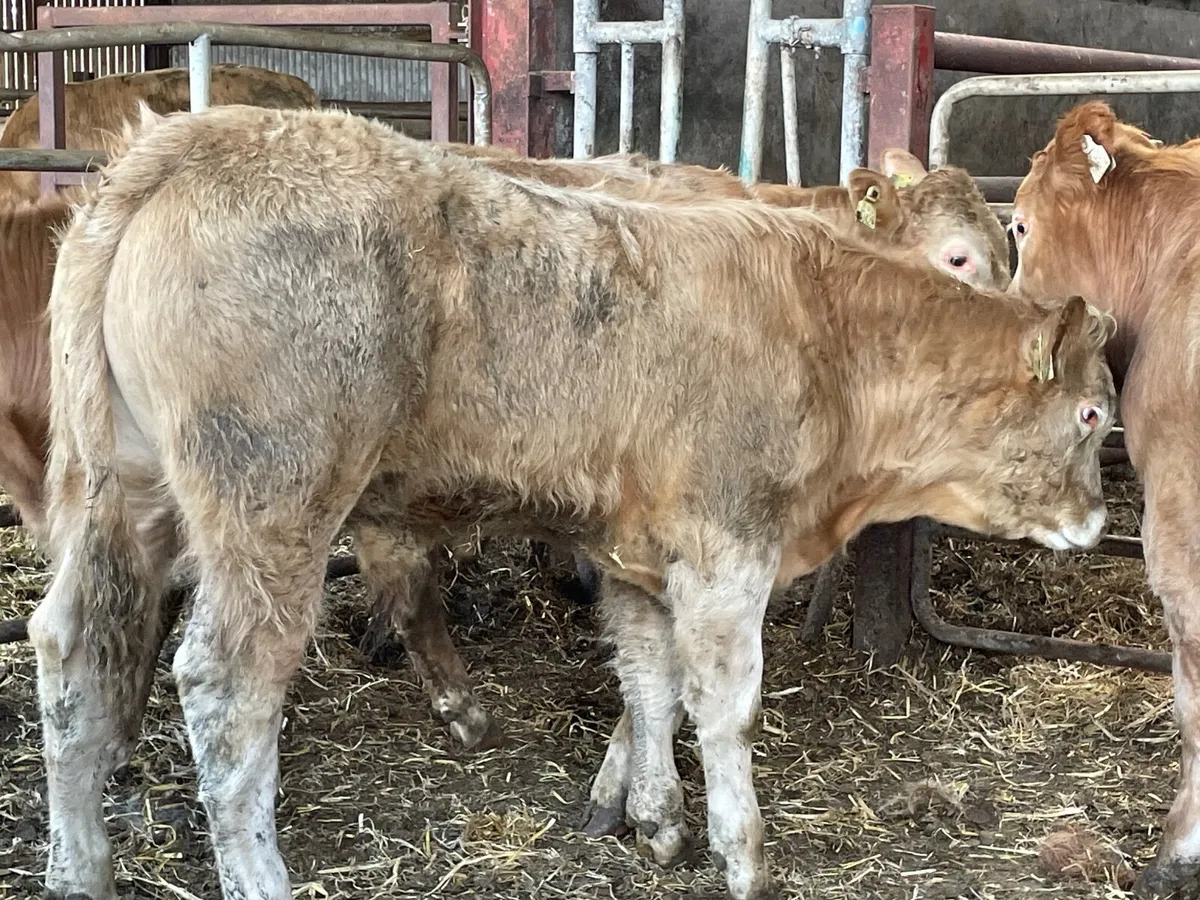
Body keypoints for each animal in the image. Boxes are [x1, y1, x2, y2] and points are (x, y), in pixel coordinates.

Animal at [28, 103, 1113, 900]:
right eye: (1095, 413)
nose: (1101, 520)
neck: (820, 321)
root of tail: (193, 138)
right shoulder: (726, 546)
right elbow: (723, 707)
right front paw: (739, 853)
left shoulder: (638, 550)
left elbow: (649, 679)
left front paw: (653, 818)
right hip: (272, 507)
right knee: (224, 687)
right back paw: (262, 871)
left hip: (116, 489)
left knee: (67, 649)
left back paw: (79, 867)